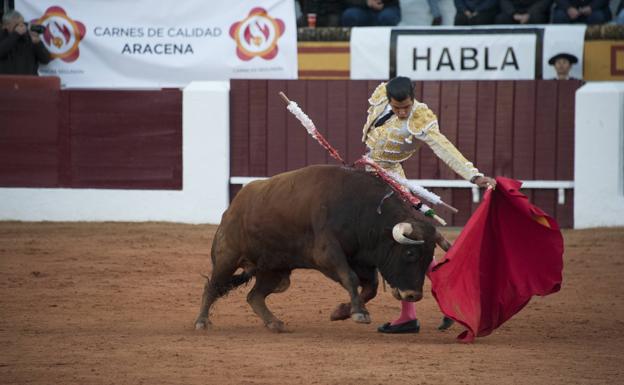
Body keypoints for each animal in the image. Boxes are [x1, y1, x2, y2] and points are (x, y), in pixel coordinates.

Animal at [195, 164, 448, 330]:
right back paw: (202, 321)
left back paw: (274, 323)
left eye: (429, 259)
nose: (413, 295)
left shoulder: (362, 261)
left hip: (275, 270)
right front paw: (359, 313)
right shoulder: (327, 256)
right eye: (410, 253)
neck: (361, 212)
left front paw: (341, 312)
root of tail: (233, 207)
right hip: (228, 256)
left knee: (254, 296)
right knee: (213, 285)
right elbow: (350, 278)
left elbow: (371, 287)